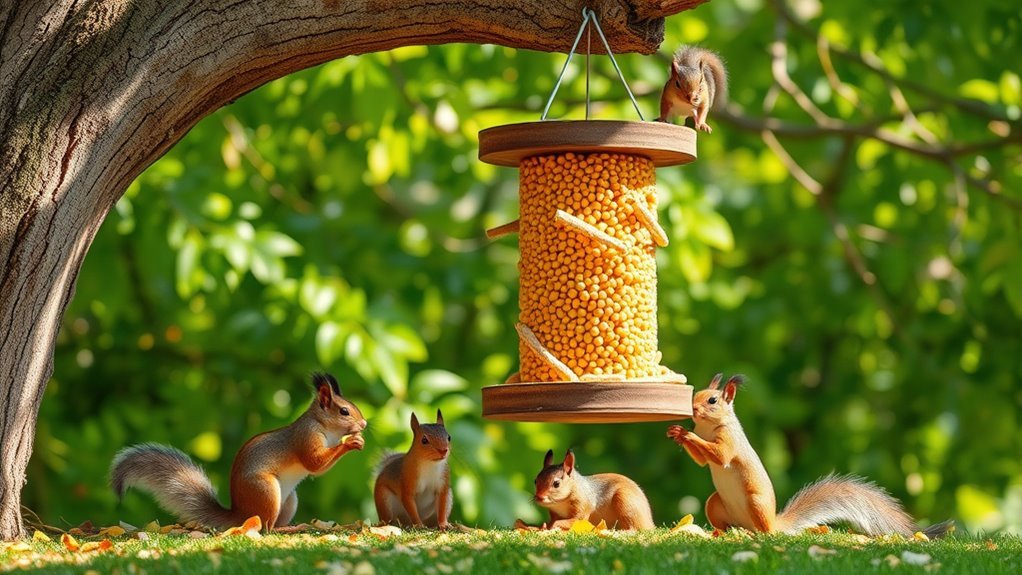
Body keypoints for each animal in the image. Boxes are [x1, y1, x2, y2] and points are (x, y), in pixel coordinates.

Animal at [111, 372, 367, 531]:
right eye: (344, 411)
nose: (364, 424)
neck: (322, 424)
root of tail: (240, 513)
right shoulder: (306, 437)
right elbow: (314, 463)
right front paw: (351, 443)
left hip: (289, 500)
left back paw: (290, 526)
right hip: (266, 491)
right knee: (266, 528)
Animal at [667, 374, 954, 537]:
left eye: (712, 401)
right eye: (697, 394)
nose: (692, 409)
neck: (709, 427)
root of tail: (775, 523)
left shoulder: (729, 442)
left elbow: (720, 457)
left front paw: (687, 434)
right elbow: (703, 461)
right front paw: (678, 432)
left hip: (755, 503)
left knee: (765, 532)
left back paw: (759, 534)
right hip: (714, 503)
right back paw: (721, 532)